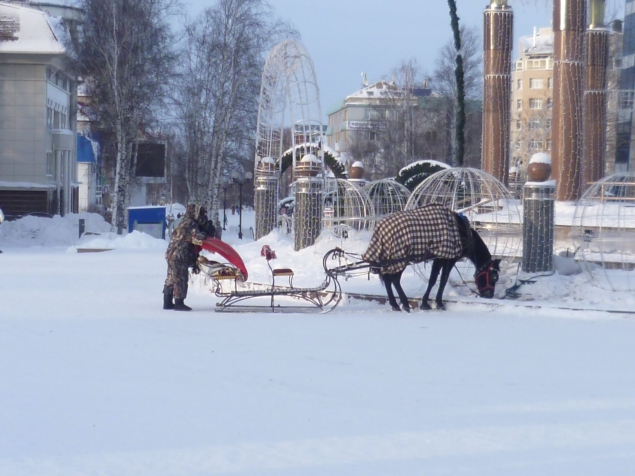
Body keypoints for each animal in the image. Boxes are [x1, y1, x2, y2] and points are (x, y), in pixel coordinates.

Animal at [362, 204, 502, 312]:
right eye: (494, 276)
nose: (489, 295)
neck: (462, 231)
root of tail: (380, 228)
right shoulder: (447, 259)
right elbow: (440, 280)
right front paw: (436, 303)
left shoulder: (439, 259)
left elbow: (433, 280)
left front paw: (427, 303)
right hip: (400, 259)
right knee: (394, 279)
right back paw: (404, 303)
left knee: (388, 279)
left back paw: (395, 304)